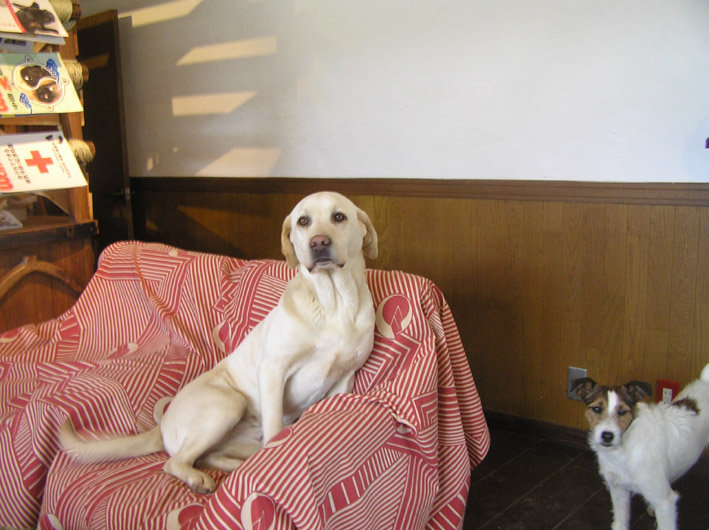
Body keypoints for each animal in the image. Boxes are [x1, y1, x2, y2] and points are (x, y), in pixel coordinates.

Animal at [61, 191, 378, 493]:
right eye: (303, 221)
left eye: (339, 216)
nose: (319, 242)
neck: (333, 303)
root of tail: (161, 425)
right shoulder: (273, 370)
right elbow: (274, 425)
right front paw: (275, 454)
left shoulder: (345, 376)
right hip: (227, 402)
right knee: (176, 461)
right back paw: (197, 479)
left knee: (206, 456)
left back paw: (231, 470)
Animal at [572, 363, 709, 530]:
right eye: (597, 409)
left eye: (622, 411)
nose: (607, 436)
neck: (624, 450)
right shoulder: (619, 491)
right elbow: (620, 522)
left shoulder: (665, 503)